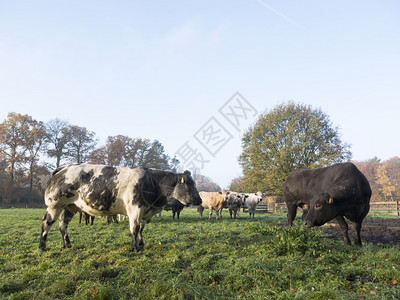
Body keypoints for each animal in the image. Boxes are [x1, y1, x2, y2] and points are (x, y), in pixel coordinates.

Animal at [38, 165, 202, 252]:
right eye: (189, 184)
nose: (199, 200)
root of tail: (65, 167)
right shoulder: (135, 209)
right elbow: (135, 228)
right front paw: (135, 248)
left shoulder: (144, 211)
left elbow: (141, 229)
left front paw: (141, 244)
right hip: (54, 205)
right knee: (46, 223)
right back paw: (42, 246)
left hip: (70, 206)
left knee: (62, 224)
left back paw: (67, 244)